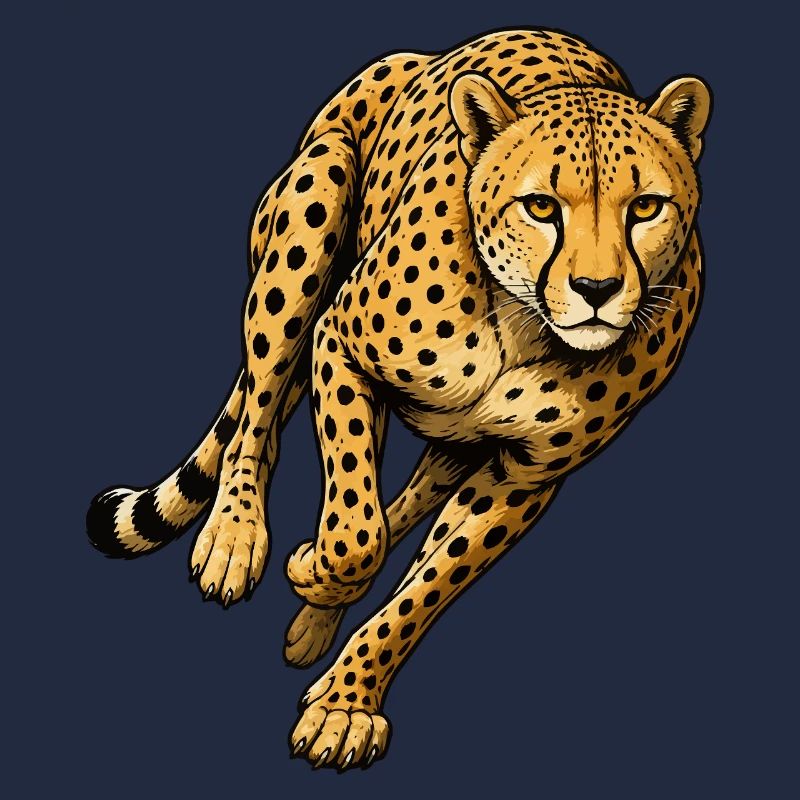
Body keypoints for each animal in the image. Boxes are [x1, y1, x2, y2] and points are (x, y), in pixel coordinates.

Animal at [87, 27, 711, 770]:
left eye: (645, 206)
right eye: (540, 207)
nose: (596, 289)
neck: (521, 324)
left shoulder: (523, 475)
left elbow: (423, 585)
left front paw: (343, 703)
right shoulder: (338, 342)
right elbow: (355, 535)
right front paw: (312, 570)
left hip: (452, 446)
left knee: (400, 507)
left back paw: (311, 623)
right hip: (311, 205)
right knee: (261, 414)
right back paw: (234, 540)